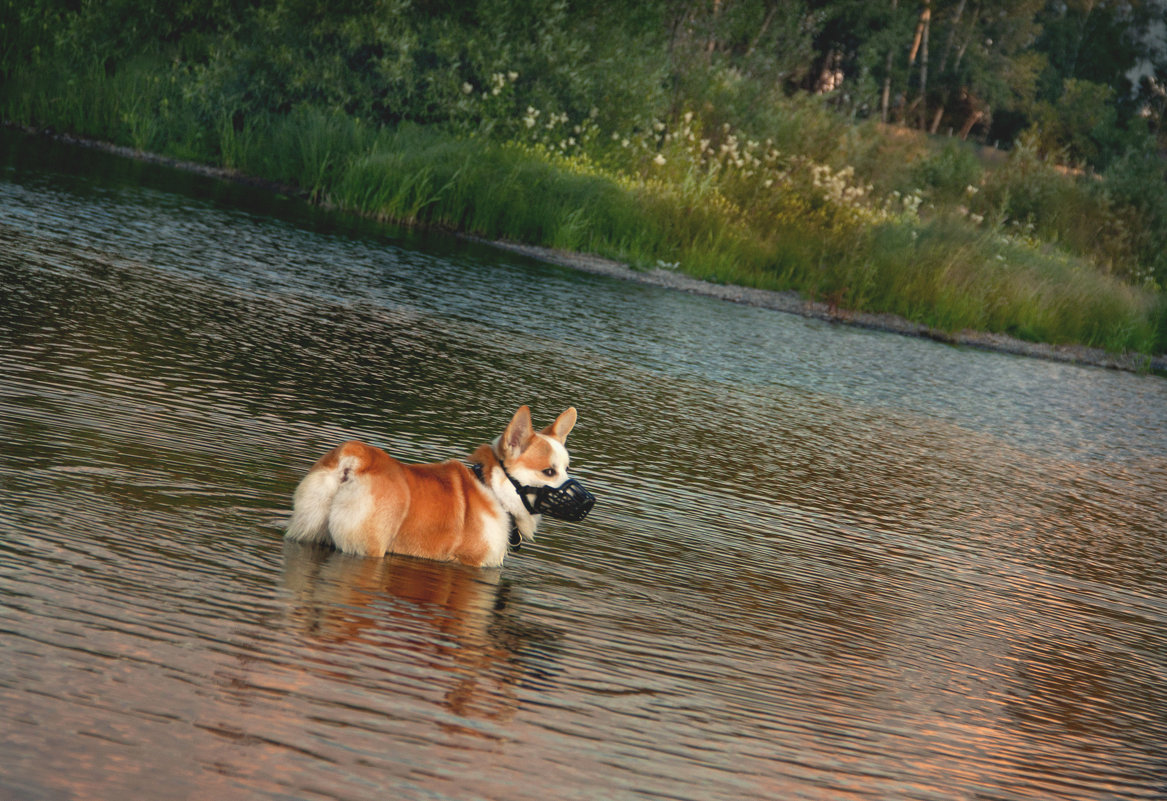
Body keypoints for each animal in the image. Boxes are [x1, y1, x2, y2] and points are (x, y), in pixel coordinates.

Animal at [283, 408, 592, 572]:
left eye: (566, 468)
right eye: (549, 472)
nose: (590, 502)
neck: (496, 490)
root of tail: (357, 457)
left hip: (307, 531)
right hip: (366, 547)